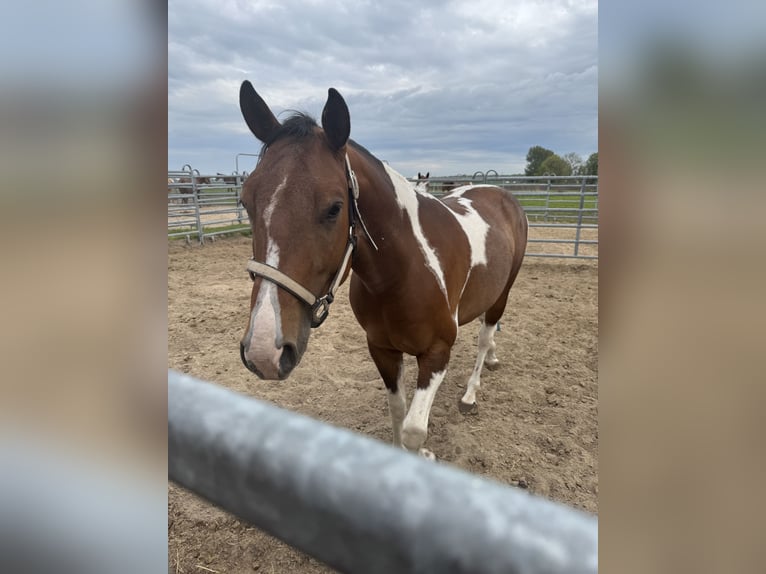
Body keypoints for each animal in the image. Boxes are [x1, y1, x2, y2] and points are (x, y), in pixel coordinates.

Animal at [237, 80, 528, 459]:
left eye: (334, 208)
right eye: (246, 201)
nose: (264, 352)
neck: (402, 275)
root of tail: (500, 193)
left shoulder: (437, 353)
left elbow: (414, 429)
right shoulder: (382, 350)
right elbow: (397, 412)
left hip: (504, 291)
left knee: (484, 336)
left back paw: (471, 392)